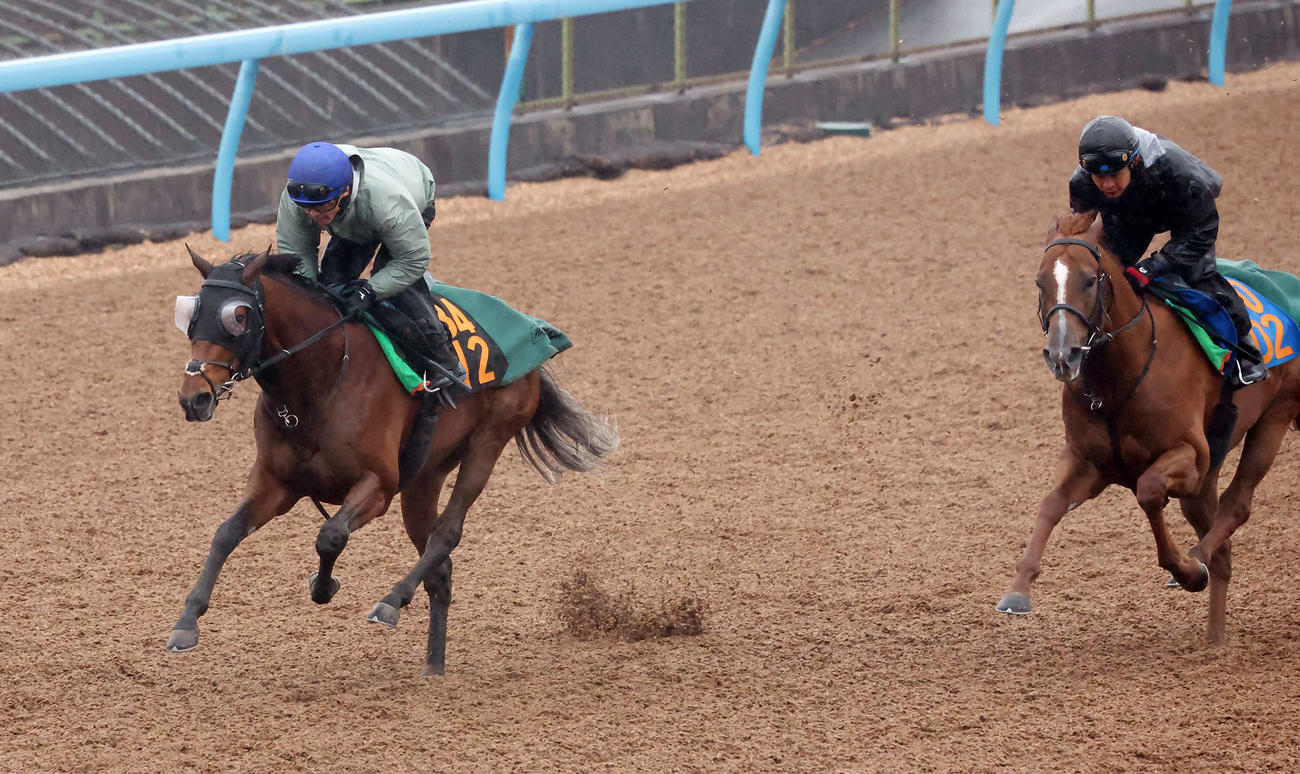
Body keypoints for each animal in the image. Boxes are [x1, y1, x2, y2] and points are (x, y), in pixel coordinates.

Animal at [169, 247, 618, 675]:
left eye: (238, 316)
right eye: (192, 315)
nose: (194, 398)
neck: (320, 379)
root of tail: (535, 332)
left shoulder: (379, 485)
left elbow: (330, 535)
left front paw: (323, 586)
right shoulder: (275, 483)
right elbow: (226, 533)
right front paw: (186, 622)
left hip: (488, 441)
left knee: (447, 534)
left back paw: (391, 601)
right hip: (424, 477)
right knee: (440, 565)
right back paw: (433, 665)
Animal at [996, 210, 1300, 644]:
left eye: (1089, 279)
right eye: (1040, 281)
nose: (1062, 355)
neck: (1122, 376)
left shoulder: (1191, 454)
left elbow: (1150, 489)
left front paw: (1185, 569)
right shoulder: (1090, 464)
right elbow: (1050, 505)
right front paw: (1018, 590)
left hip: (1275, 417)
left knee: (1237, 505)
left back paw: (1197, 561)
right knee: (1218, 539)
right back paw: (1215, 639)